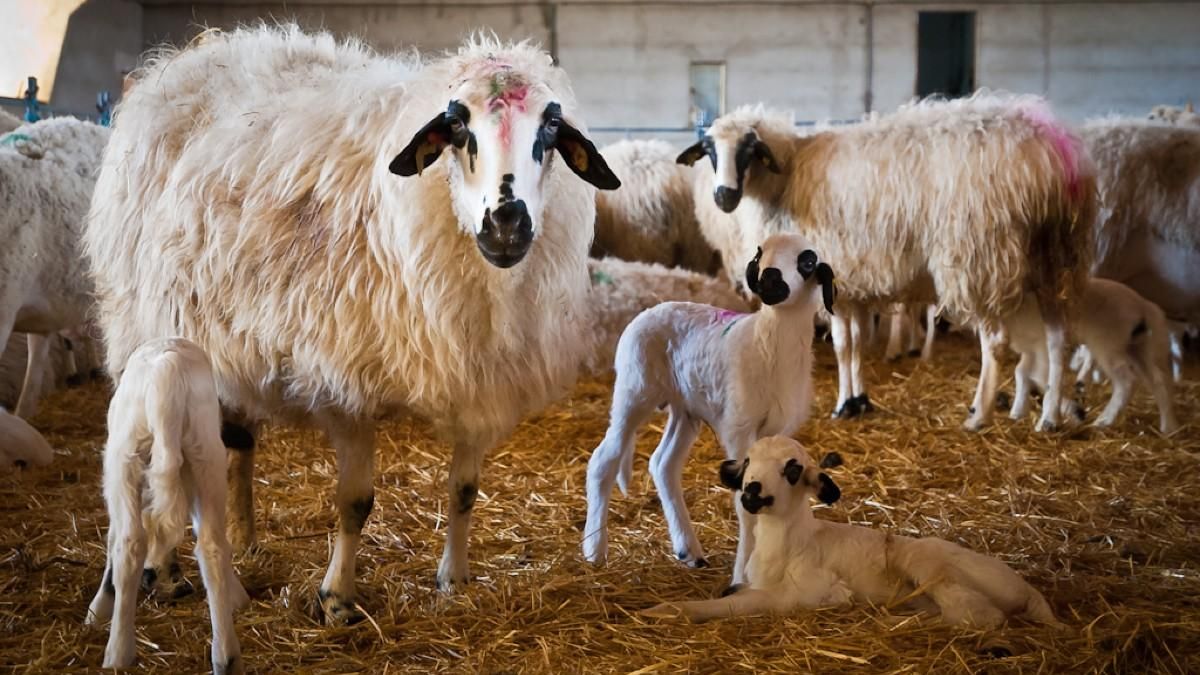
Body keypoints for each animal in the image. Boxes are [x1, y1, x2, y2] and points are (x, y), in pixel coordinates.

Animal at [84, 24, 618, 624]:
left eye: (550, 125)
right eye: (457, 124)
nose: (507, 224)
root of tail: (192, 53)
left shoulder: (474, 375)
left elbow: (464, 489)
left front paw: (453, 579)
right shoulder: (347, 384)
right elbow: (355, 502)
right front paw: (337, 597)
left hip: (225, 341)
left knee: (235, 444)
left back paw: (242, 539)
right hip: (143, 334)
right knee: (160, 455)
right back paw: (166, 570)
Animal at [84, 338, 249, 673]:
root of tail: (166, 375)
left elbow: (111, 536)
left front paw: (98, 608)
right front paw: (236, 595)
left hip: (125, 460)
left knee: (129, 544)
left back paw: (117, 653)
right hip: (206, 456)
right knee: (212, 546)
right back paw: (226, 657)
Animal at [642, 436, 1060, 627]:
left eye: (792, 469)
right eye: (747, 462)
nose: (752, 491)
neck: (792, 543)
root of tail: (1027, 588)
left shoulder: (802, 593)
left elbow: (737, 603)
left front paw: (663, 610)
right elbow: (734, 592)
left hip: (927, 561)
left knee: (980, 614)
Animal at [677, 94, 1096, 431]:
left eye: (749, 151)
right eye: (709, 151)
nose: (723, 196)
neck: (784, 178)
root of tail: (1050, 157)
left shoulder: (829, 271)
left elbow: (843, 345)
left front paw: (843, 404)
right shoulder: (850, 283)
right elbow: (856, 343)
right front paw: (858, 400)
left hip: (979, 255)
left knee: (994, 341)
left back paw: (980, 415)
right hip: (1056, 258)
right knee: (1059, 337)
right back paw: (1049, 417)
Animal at [1005, 278, 1177, 434]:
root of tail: (1144, 306)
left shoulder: (1042, 345)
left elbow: (1041, 377)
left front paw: (1069, 412)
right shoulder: (1029, 350)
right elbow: (1020, 371)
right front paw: (1017, 412)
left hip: (1106, 344)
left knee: (1127, 381)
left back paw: (1103, 421)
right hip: (1138, 347)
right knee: (1158, 382)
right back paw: (1168, 428)